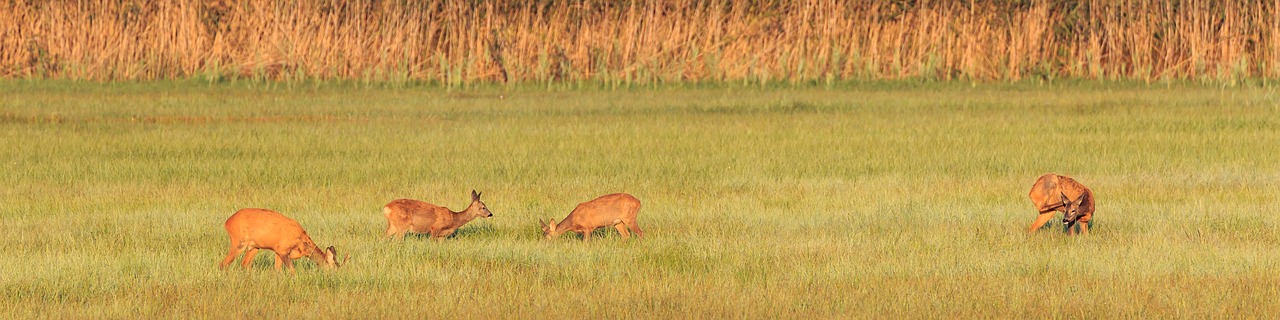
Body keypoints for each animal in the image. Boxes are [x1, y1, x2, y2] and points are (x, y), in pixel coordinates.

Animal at [217, 208, 345, 271]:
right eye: (334, 268)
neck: (301, 243)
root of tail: (227, 223)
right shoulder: (283, 250)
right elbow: (292, 271)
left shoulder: (277, 250)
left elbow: (277, 270)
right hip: (239, 242)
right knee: (223, 264)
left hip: (254, 246)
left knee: (244, 264)